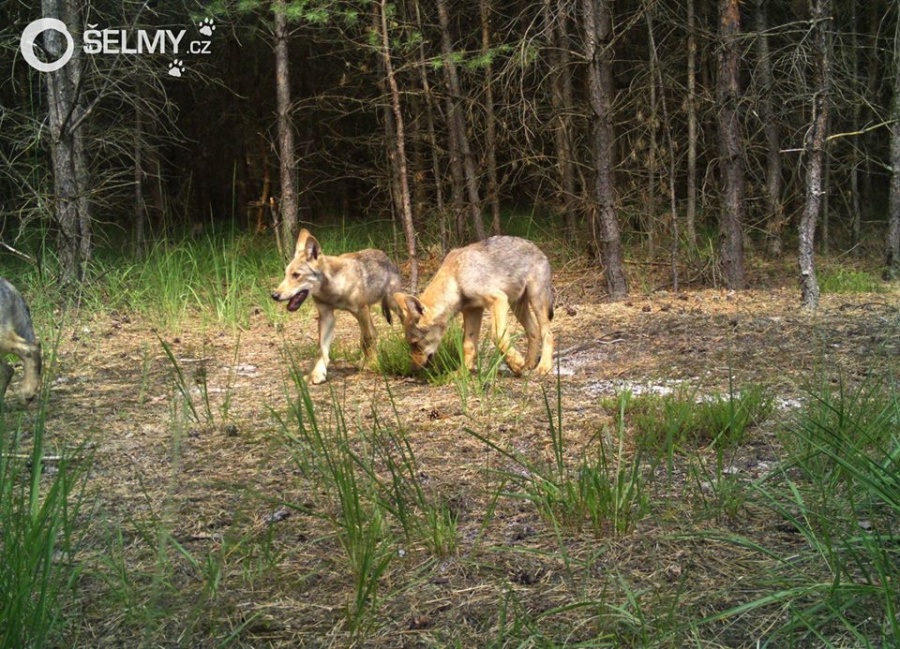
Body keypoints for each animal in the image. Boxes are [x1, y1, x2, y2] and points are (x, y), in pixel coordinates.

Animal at [270, 228, 400, 382]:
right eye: (286, 274)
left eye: (296, 275)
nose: (274, 295)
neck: (332, 289)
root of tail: (386, 256)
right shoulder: (326, 316)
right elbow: (322, 349)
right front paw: (317, 374)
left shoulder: (360, 310)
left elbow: (367, 339)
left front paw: (373, 364)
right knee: (373, 333)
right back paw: (363, 361)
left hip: (390, 305)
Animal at [396, 235, 556, 374]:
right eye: (411, 345)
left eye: (415, 344)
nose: (413, 369)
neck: (457, 279)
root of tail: (537, 248)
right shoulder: (472, 310)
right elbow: (468, 345)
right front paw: (463, 372)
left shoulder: (498, 300)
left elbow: (497, 337)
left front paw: (515, 363)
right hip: (517, 306)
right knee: (533, 331)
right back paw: (529, 364)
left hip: (536, 301)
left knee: (547, 333)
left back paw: (543, 366)